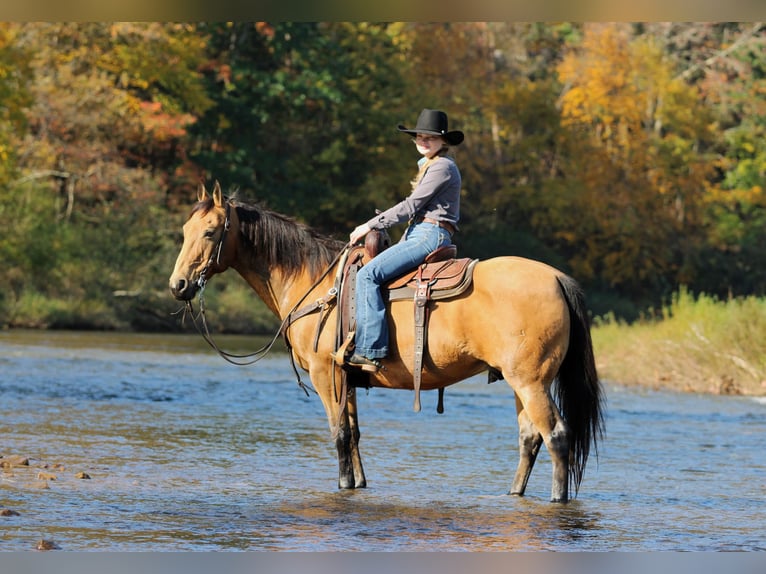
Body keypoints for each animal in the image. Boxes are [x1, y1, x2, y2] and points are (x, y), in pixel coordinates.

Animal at [168, 182, 605, 503]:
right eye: (185, 232)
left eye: (210, 232)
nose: (178, 285)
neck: (315, 283)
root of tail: (556, 278)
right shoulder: (346, 377)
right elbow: (354, 433)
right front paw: (358, 484)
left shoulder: (326, 374)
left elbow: (339, 434)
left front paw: (343, 485)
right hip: (521, 383)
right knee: (529, 438)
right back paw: (514, 494)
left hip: (531, 383)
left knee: (557, 436)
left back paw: (557, 499)